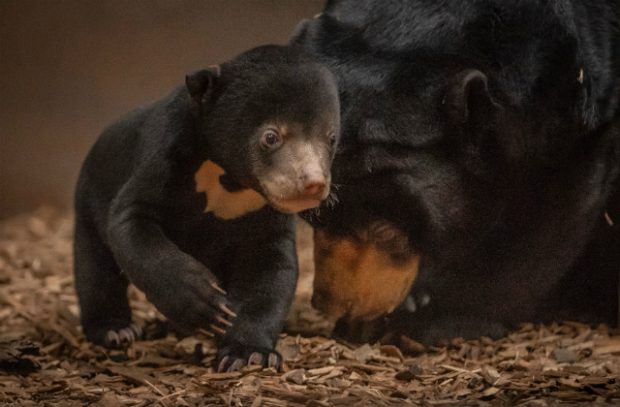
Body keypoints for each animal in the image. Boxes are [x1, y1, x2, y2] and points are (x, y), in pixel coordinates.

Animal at [294, 0, 620, 346]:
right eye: (314, 217)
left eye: (386, 230)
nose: (329, 304)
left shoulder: (576, 136)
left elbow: (543, 229)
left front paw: (435, 322)